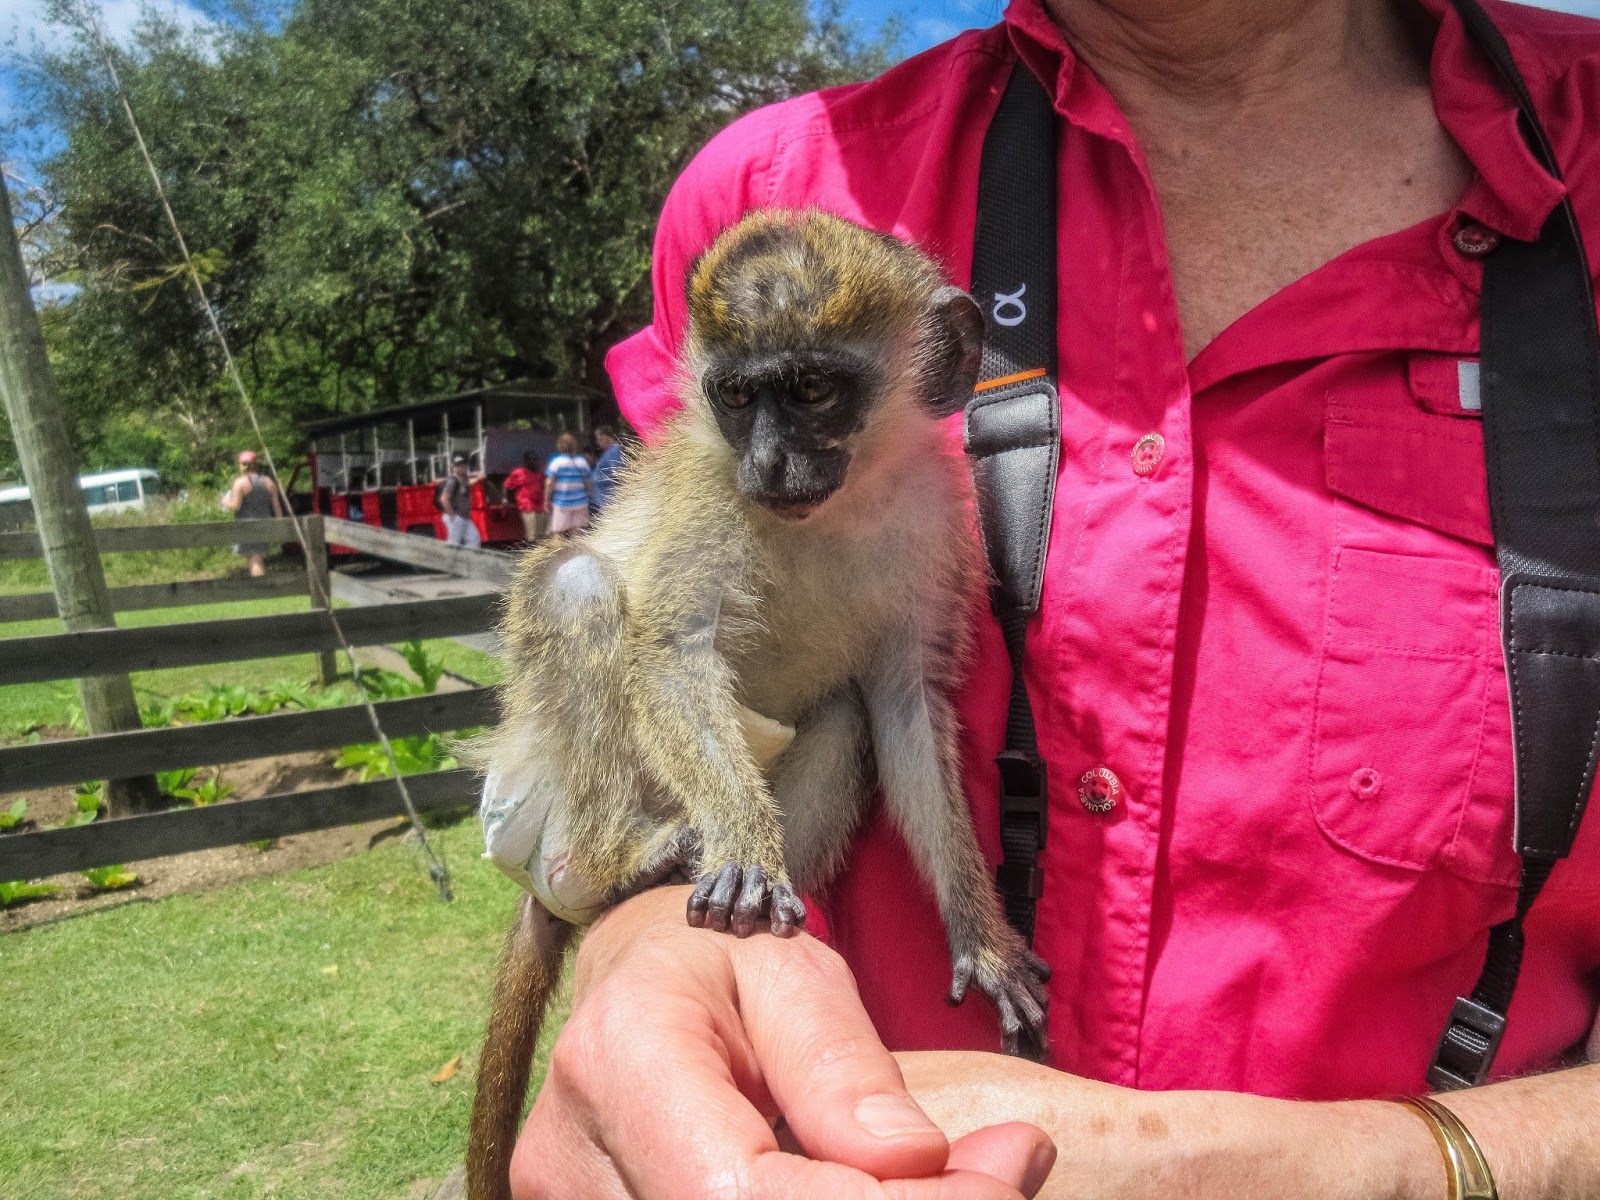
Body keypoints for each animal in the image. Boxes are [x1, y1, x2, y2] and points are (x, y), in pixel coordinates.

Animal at [467, 209, 1052, 1200]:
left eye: (812, 389)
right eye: (738, 397)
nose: (771, 463)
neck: (837, 509)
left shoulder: (933, 521)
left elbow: (903, 705)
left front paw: (983, 937)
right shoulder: (714, 492)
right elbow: (671, 652)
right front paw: (744, 849)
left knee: (846, 716)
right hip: (542, 776)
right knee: (578, 587)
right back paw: (618, 862)